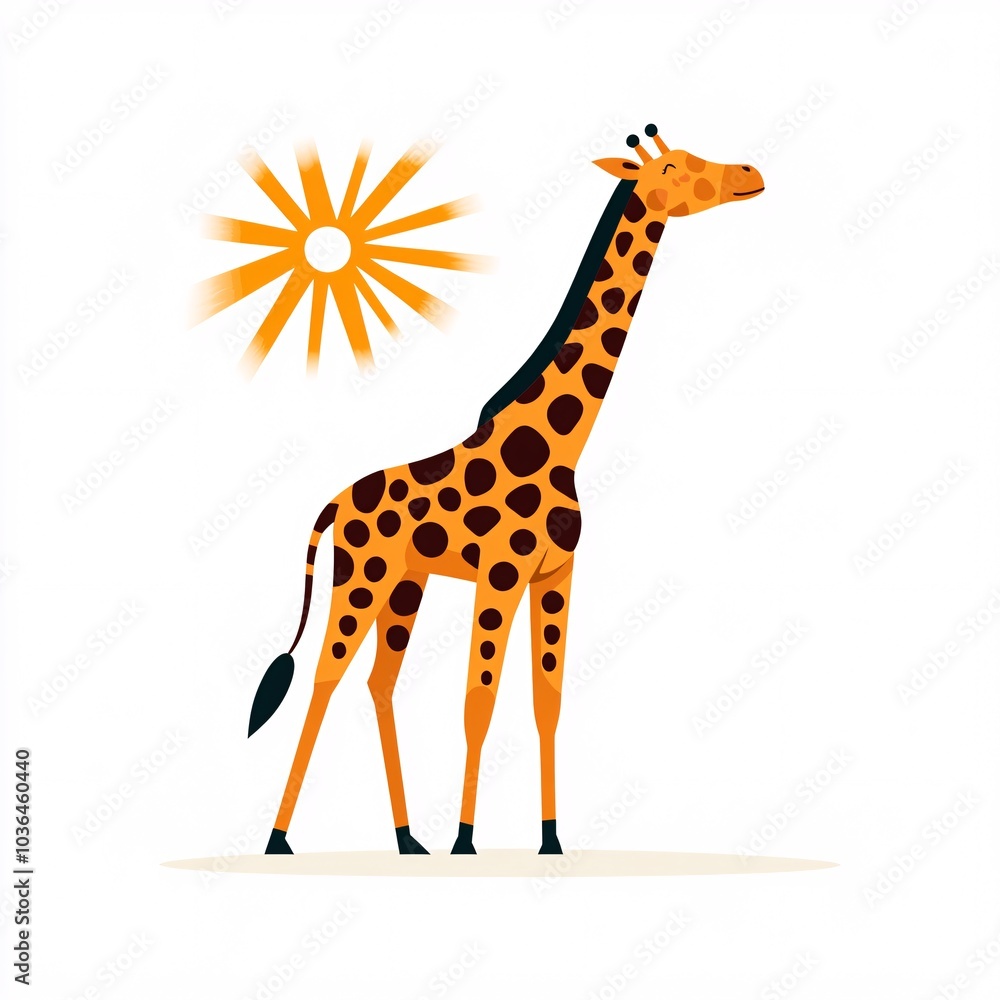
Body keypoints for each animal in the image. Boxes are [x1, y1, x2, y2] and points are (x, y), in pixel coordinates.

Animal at [248, 124, 765, 856]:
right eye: (671, 166)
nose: (750, 173)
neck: (557, 444)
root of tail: (330, 507)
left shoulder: (556, 574)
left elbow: (546, 703)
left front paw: (550, 840)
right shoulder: (500, 574)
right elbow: (479, 703)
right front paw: (467, 841)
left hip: (406, 584)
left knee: (379, 683)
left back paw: (408, 840)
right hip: (361, 581)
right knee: (324, 679)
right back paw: (279, 839)